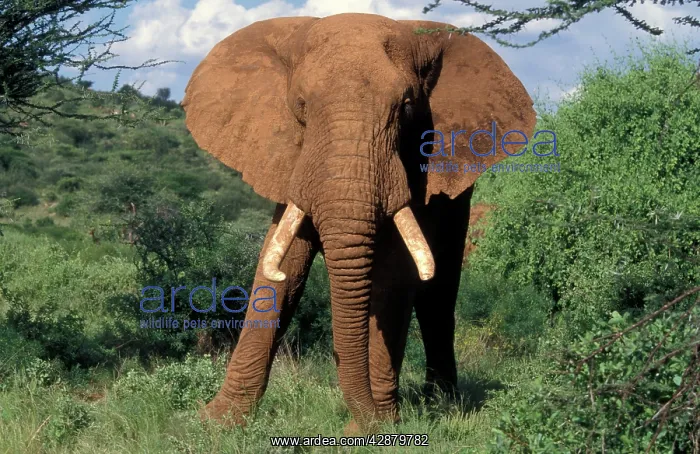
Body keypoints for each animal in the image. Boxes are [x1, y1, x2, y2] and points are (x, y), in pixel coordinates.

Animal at [181, 12, 535, 433]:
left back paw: (442, 403)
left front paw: (375, 429)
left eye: (406, 107)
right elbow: (283, 265)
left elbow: (394, 276)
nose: (362, 419)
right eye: (300, 105)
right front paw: (215, 423)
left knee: (439, 290)